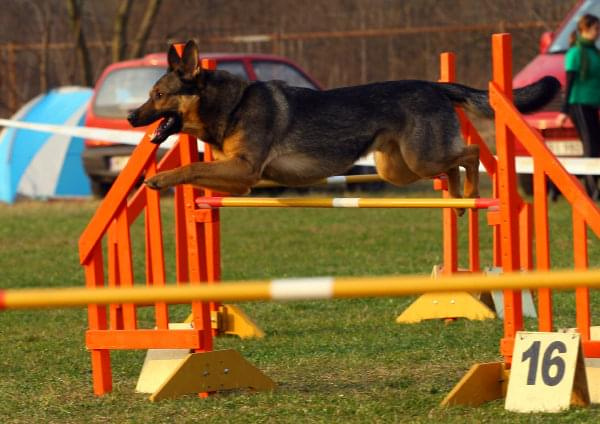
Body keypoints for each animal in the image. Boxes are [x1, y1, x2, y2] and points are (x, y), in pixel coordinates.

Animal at [127, 40, 564, 215]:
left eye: (158, 94)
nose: (130, 117)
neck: (231, 106)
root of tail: (435, 84)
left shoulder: (244, 172)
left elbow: (190, 166)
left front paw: (157, 179)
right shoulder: (237, 182)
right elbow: (197, 170)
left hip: (420, 159)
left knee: (470, 155)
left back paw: (471, 195)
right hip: (400, 168)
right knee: (453, 166)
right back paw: (457, 202)